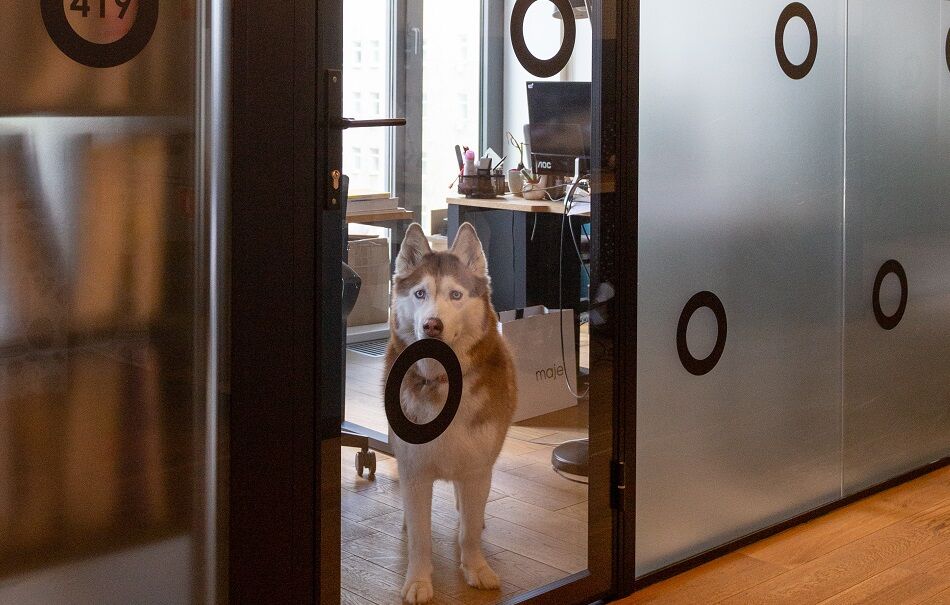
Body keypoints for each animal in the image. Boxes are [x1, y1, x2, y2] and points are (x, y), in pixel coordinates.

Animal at [386, 224, 516, 600]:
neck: (444, 383)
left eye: (456, 295)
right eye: (420, 294)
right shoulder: (415, 471)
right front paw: (418, 581)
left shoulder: (476, 468)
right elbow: (420, 538)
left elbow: (469, 532)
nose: (432, 325)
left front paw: (475, 568)